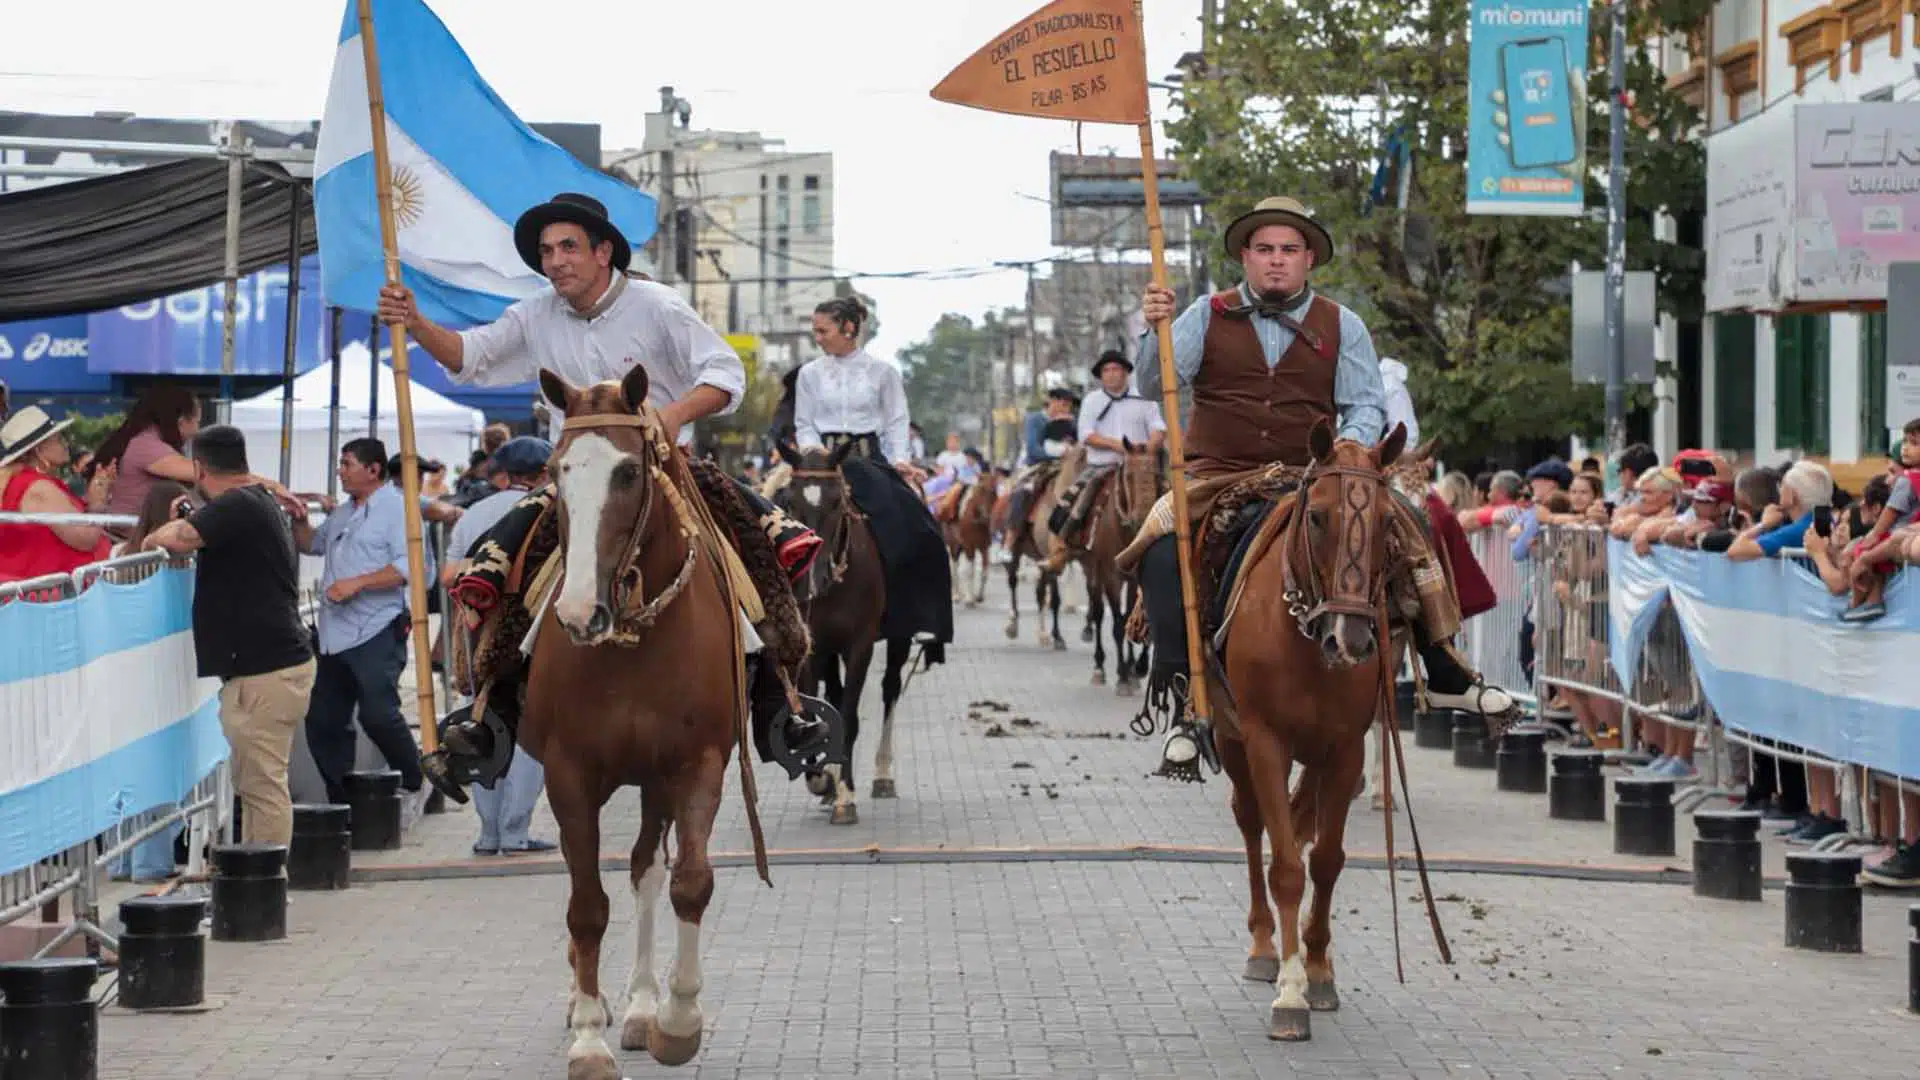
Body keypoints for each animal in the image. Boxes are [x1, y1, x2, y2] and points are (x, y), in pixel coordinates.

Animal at [529, 365, 768, 1068]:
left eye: (629, 471)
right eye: (556, 470)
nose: (579, 613)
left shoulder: (698, 764)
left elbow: (689, 880)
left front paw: (679, 1020)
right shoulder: (568, 774)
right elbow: (586, 905)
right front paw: (587, 1040)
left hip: (655, 780)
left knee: (644, 868)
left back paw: (640, 1007)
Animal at [1213, 417, 1443, 1037]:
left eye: (1387, 520)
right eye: (1316, 516)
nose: (1353, 639)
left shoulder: (1344, 748)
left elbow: (1327, 859)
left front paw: (1317, 970)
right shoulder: (1264, 742)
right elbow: (1288, 867)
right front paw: (1290, 993)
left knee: (1302, 825)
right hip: (1231, 740)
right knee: (1252, 824)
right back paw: (1264, 946)